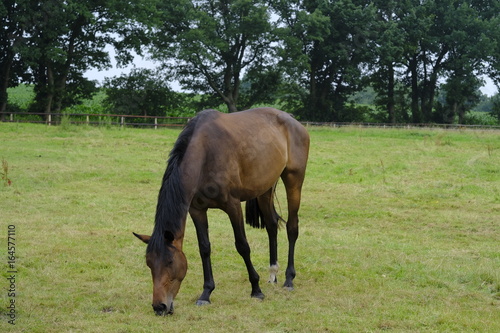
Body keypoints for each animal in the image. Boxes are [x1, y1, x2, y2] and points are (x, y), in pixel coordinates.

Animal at [135, 106, 310, 314]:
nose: (159, 306)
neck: (205, 154)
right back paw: (273, 274)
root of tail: (293, 120)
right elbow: (204, 248)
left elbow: (242, 246)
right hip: (265, 188)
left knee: (292, 227)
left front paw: (256, 289)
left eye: (170, 262)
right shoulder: (197, 210)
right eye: (149, 263)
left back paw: (289, 279)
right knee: (271, 225)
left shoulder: (233, 206)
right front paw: (206, 293)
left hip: (294, 180)